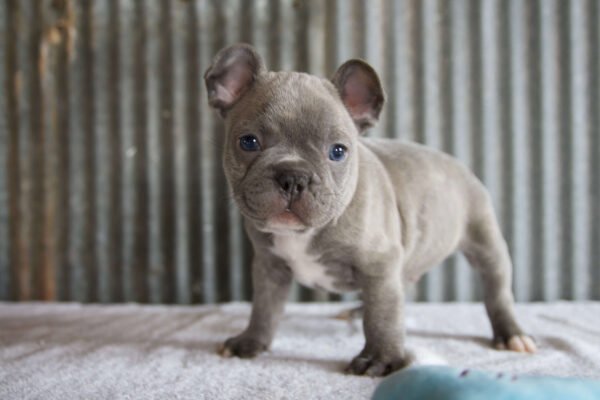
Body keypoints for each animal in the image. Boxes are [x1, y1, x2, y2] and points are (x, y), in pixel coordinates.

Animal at [204, 44, 536, 378]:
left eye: (338, 151)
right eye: (248, 142)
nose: (293, 177)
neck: (308, 232)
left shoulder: (378, 265)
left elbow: (381, 317)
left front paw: (381, 358)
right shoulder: (269, 267)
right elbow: (264, 308)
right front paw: (251, 342)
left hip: (485, 242)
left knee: (496, 289)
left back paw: (511, 333)